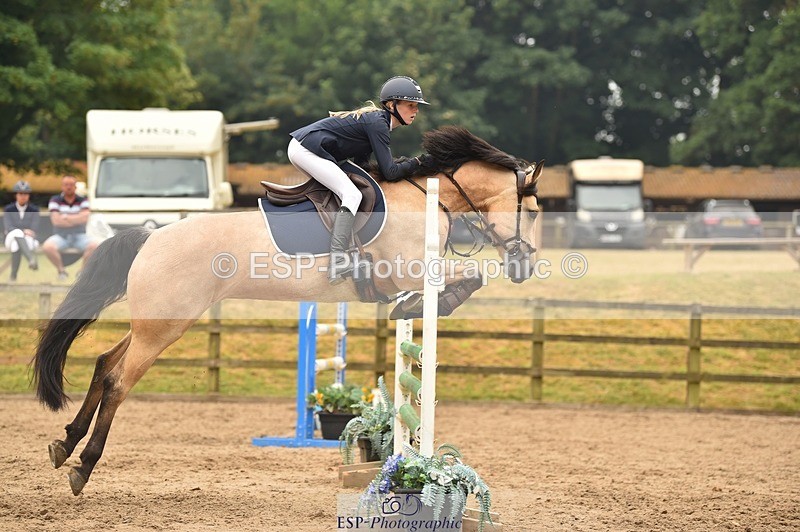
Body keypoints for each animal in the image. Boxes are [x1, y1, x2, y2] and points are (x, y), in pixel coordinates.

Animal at [32, 125, 543, 496]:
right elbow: (468, 278)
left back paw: (64, 443)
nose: (525, 267)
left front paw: (415, 307)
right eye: (535, 211)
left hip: (154, 324)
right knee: (119, 382)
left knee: (104, 363)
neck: (426, 197)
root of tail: (151, 236)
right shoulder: (408, 270)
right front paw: (429, 303)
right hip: (164, 327)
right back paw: (83, 466)